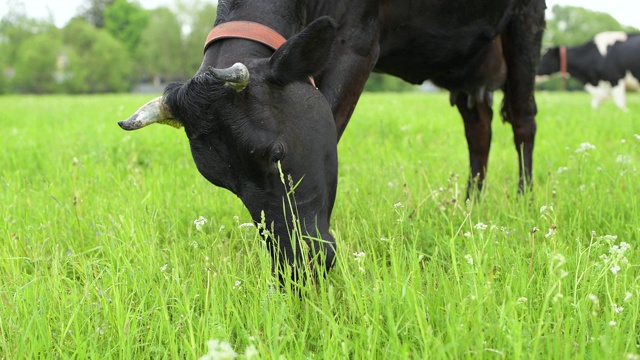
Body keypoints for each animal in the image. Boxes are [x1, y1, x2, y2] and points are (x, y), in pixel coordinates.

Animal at [120, 0, 544, 284]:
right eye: (225, 183)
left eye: (277, 153)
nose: (295, 267)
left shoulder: (355, 41)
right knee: (478, 128)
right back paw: (472, 203)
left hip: (525, 22)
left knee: (523, 118)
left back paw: (524, 200)